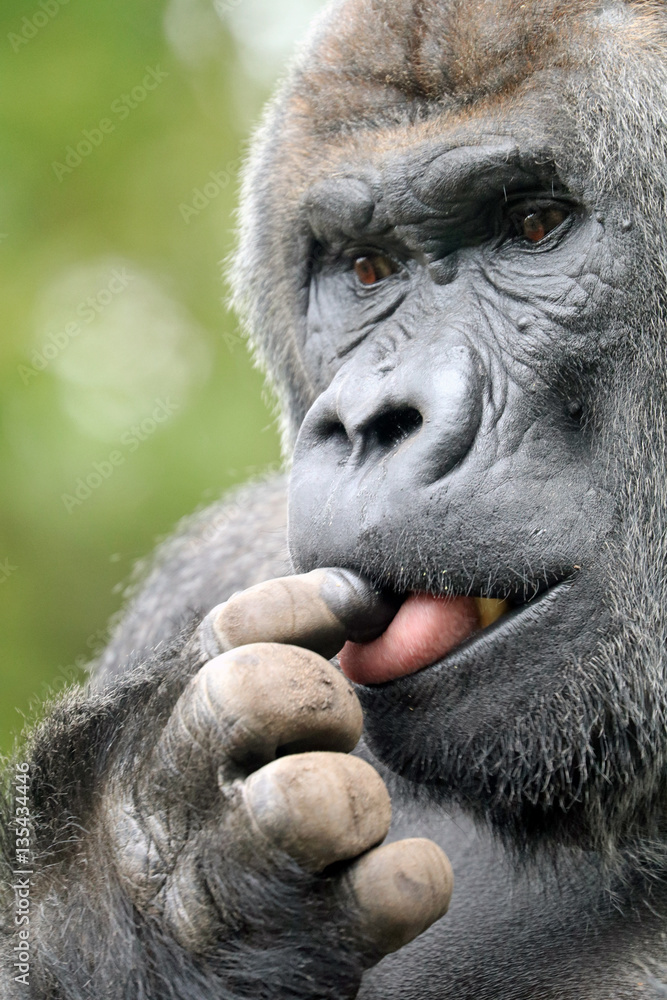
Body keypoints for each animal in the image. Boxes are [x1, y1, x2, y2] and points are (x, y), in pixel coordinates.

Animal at [4, 0, 667, 996]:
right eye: (365, 269)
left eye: (536, 224)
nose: (365, 421)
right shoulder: (212, 565)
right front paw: (135, 876)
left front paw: (156, 872)